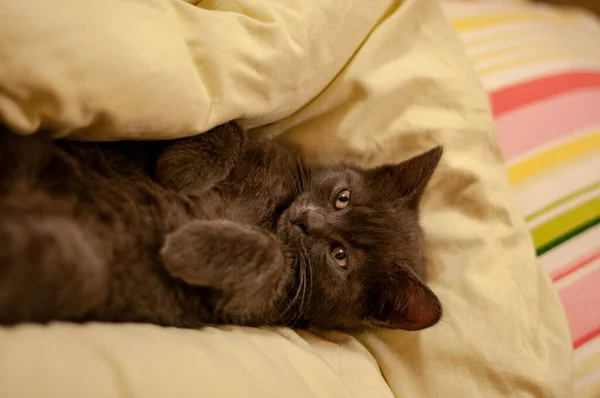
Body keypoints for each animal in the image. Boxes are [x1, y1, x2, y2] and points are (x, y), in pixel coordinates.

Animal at [0, 123, 440, 332]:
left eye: (340, 255)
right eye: (342, 197)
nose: (305, 221)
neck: (272, 214)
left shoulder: (252, 305)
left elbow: (270, 256)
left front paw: (186, 244)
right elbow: (237, 130)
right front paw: (183, 171)